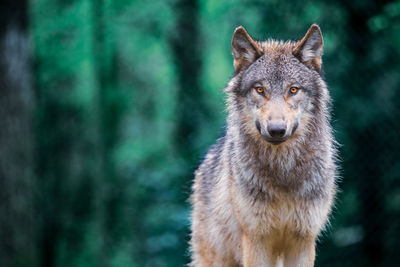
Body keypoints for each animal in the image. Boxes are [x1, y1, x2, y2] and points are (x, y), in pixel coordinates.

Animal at [190, 24, 338, 266]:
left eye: (293, 90)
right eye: (260, 90)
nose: (276, 130)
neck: (282, 171)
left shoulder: (303, 240)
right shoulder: (257, 239)